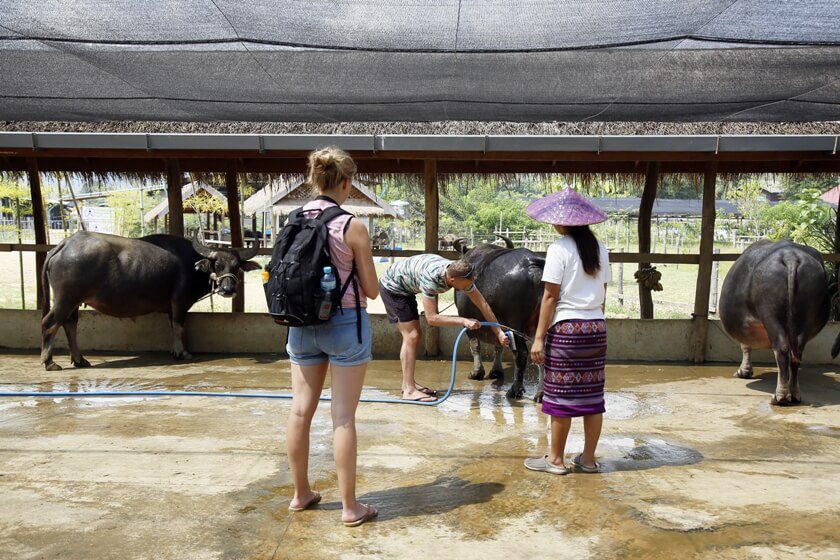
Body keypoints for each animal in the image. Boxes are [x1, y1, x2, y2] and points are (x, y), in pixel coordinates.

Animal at [38, 230, 260, 370]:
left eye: (236, 266)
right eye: (217, 265)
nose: (228, 289)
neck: (192, 264)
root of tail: (65, 244)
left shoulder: (171, 307)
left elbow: (172, 326)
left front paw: (174, 349)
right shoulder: (179, 302)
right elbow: (179, 326)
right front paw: (182, 353)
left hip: (73, 302)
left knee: (69, 324)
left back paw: (79, 359)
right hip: (66, 299)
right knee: (49, 323)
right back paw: (49, 362)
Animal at [452, 235, 544, 398]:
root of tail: (532, 263)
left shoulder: (468, 322)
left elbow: (475, 345)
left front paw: (477, 372)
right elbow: (499, 346)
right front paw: (496, 371)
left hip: (514, 325)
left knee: (521, 354)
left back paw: (515, 389)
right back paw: (540, 394)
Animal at [716, 238, 840, 404]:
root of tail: (790, 256)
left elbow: (745, 346)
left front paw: (743, 372)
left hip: (771, 316)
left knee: (781, 350)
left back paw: (779, 397)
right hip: (805, 318)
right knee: (796, 354)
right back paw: (794, 395)